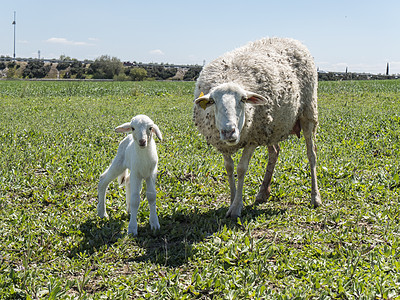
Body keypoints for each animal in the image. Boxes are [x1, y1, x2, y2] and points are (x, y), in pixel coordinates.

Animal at [192, 37, 320, 218]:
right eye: (213, 101)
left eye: (243, 99)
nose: (229, 131)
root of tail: (291, 39)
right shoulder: (222, 143)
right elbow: (229, 168)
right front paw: (232, 200)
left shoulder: (252, 138)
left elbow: (241, 168)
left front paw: (236, 207)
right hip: (271, 127)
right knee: (274, 152)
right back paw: (262, 193)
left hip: (308, 113)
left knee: (311, 155)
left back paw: (315, 197)